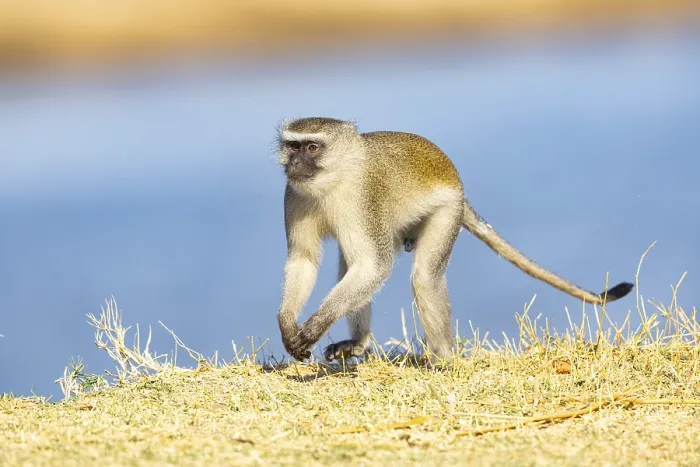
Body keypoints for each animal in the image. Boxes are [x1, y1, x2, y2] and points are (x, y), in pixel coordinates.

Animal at [275, 117, 634, 363]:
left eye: (312, 147)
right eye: (292, 147)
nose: (294, 164)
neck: (334, 179)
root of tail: (458, 184)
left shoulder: (363, 198)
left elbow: (374, 266)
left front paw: (314, 326)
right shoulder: (293, 195)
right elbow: (305, 260)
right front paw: (287, 325)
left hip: (448, 211)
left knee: (422, 277)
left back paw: (444, 359)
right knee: (352, 267)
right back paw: (359, 343)